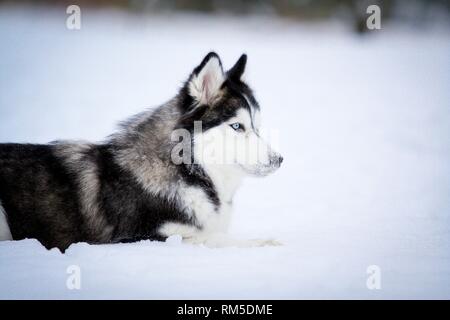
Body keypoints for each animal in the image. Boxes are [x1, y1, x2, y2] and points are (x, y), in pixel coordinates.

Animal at [0, 52, 282, 251]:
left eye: (256, 126)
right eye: (237, 126)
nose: (279, 160)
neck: (187, 171)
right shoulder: (137, 239)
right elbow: (209, 239)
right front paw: (262, 243)